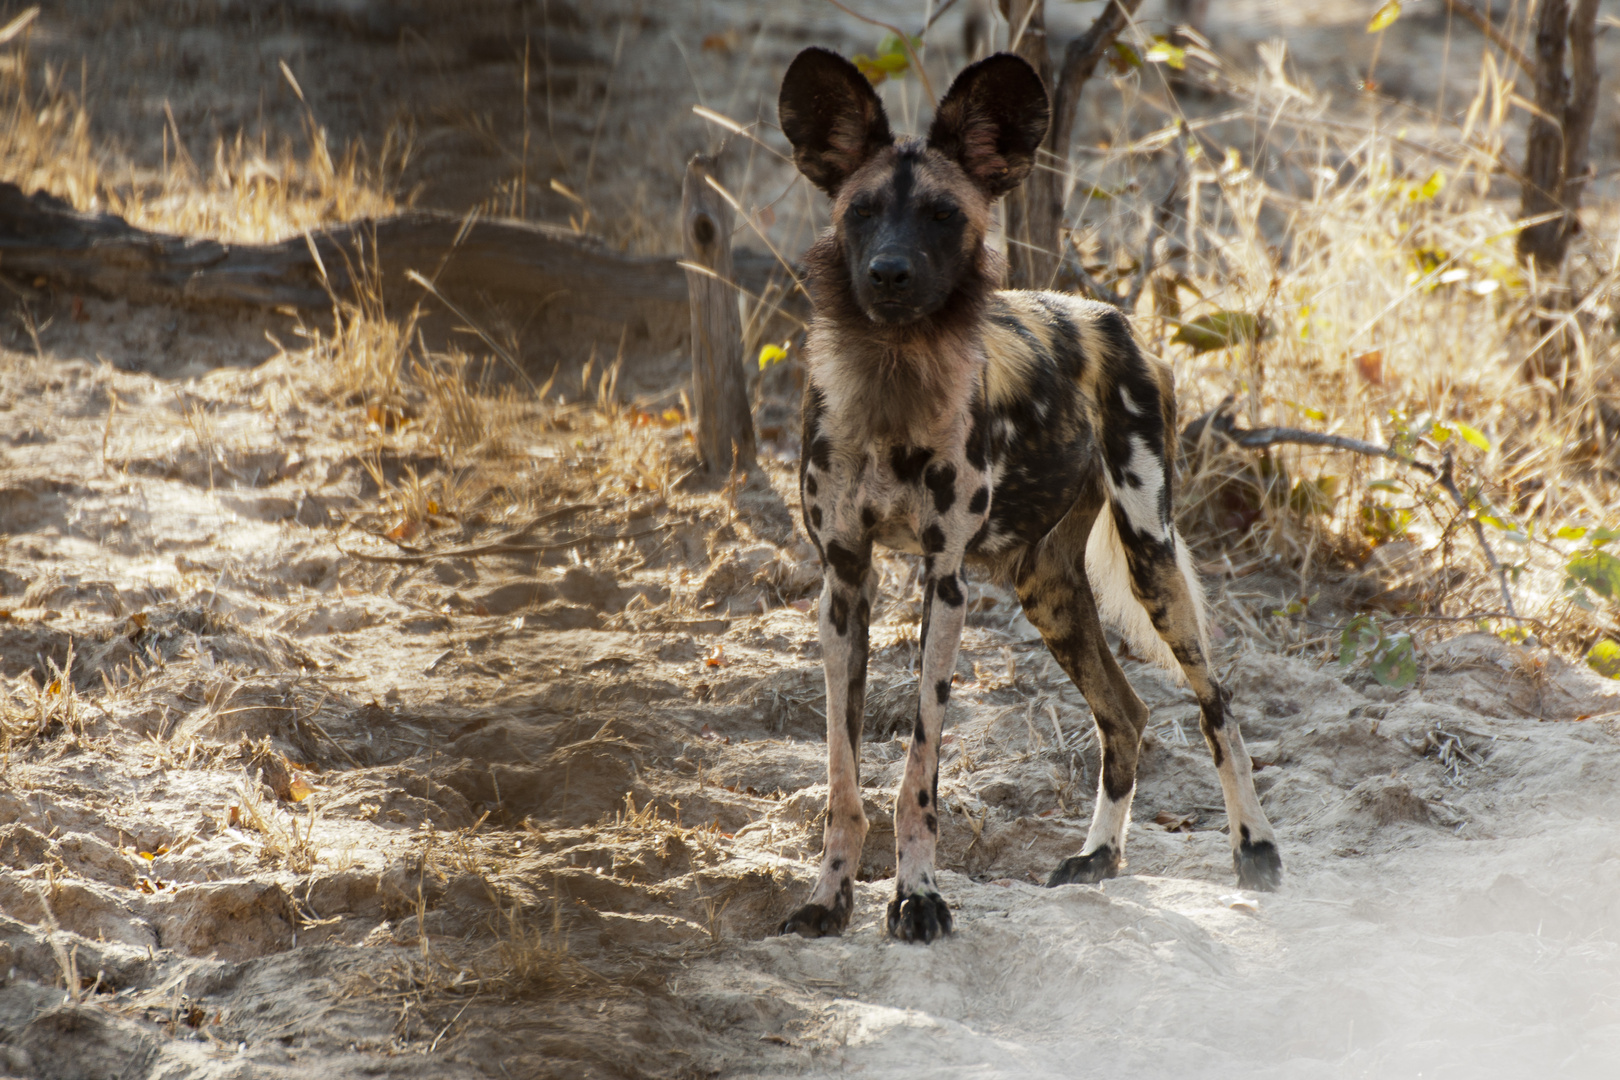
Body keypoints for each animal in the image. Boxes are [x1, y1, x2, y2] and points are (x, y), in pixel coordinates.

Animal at [777, 50, 1283, 945]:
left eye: (943, 215)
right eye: (861, 211)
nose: (889, 273)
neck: (893, 379)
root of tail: (1115, 318)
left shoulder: (943, 580)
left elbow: (918, 773)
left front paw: (917, 897)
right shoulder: (843, 583)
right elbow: (842, 779)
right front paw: (828, 898)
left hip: (1150, 556)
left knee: (1214, 703)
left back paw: (1253, 848)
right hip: (1047, 591)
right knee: (1127, 715)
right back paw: (1098, 857)